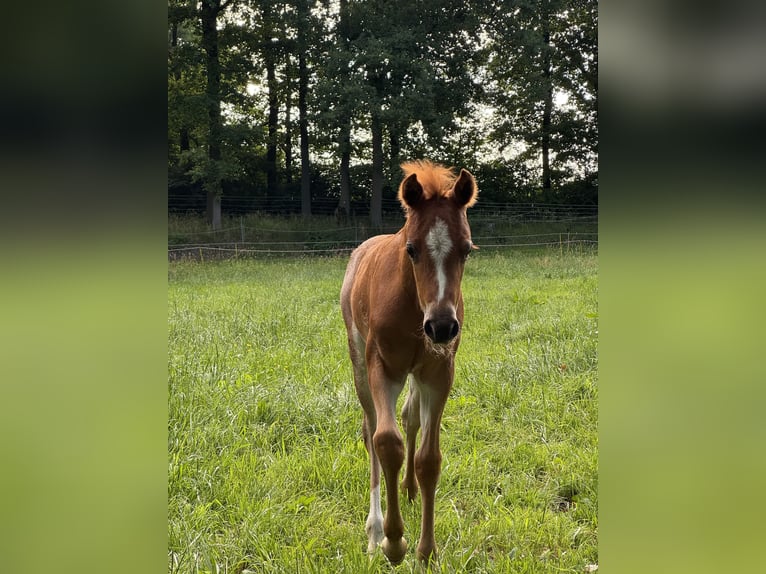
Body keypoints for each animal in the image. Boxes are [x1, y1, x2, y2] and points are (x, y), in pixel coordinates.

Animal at [340, 160, 478, 563]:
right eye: (412, 249)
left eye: (466, 250)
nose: (442, 326)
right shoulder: (382, 368)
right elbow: (387, 443)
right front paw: (393, 541)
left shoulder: (438, 373)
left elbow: (428, 459)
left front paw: (426, 549)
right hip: (359, 362)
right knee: (371, 429)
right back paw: (374, 528)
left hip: (417, 372)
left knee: (410, 417)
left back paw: (410, 489)